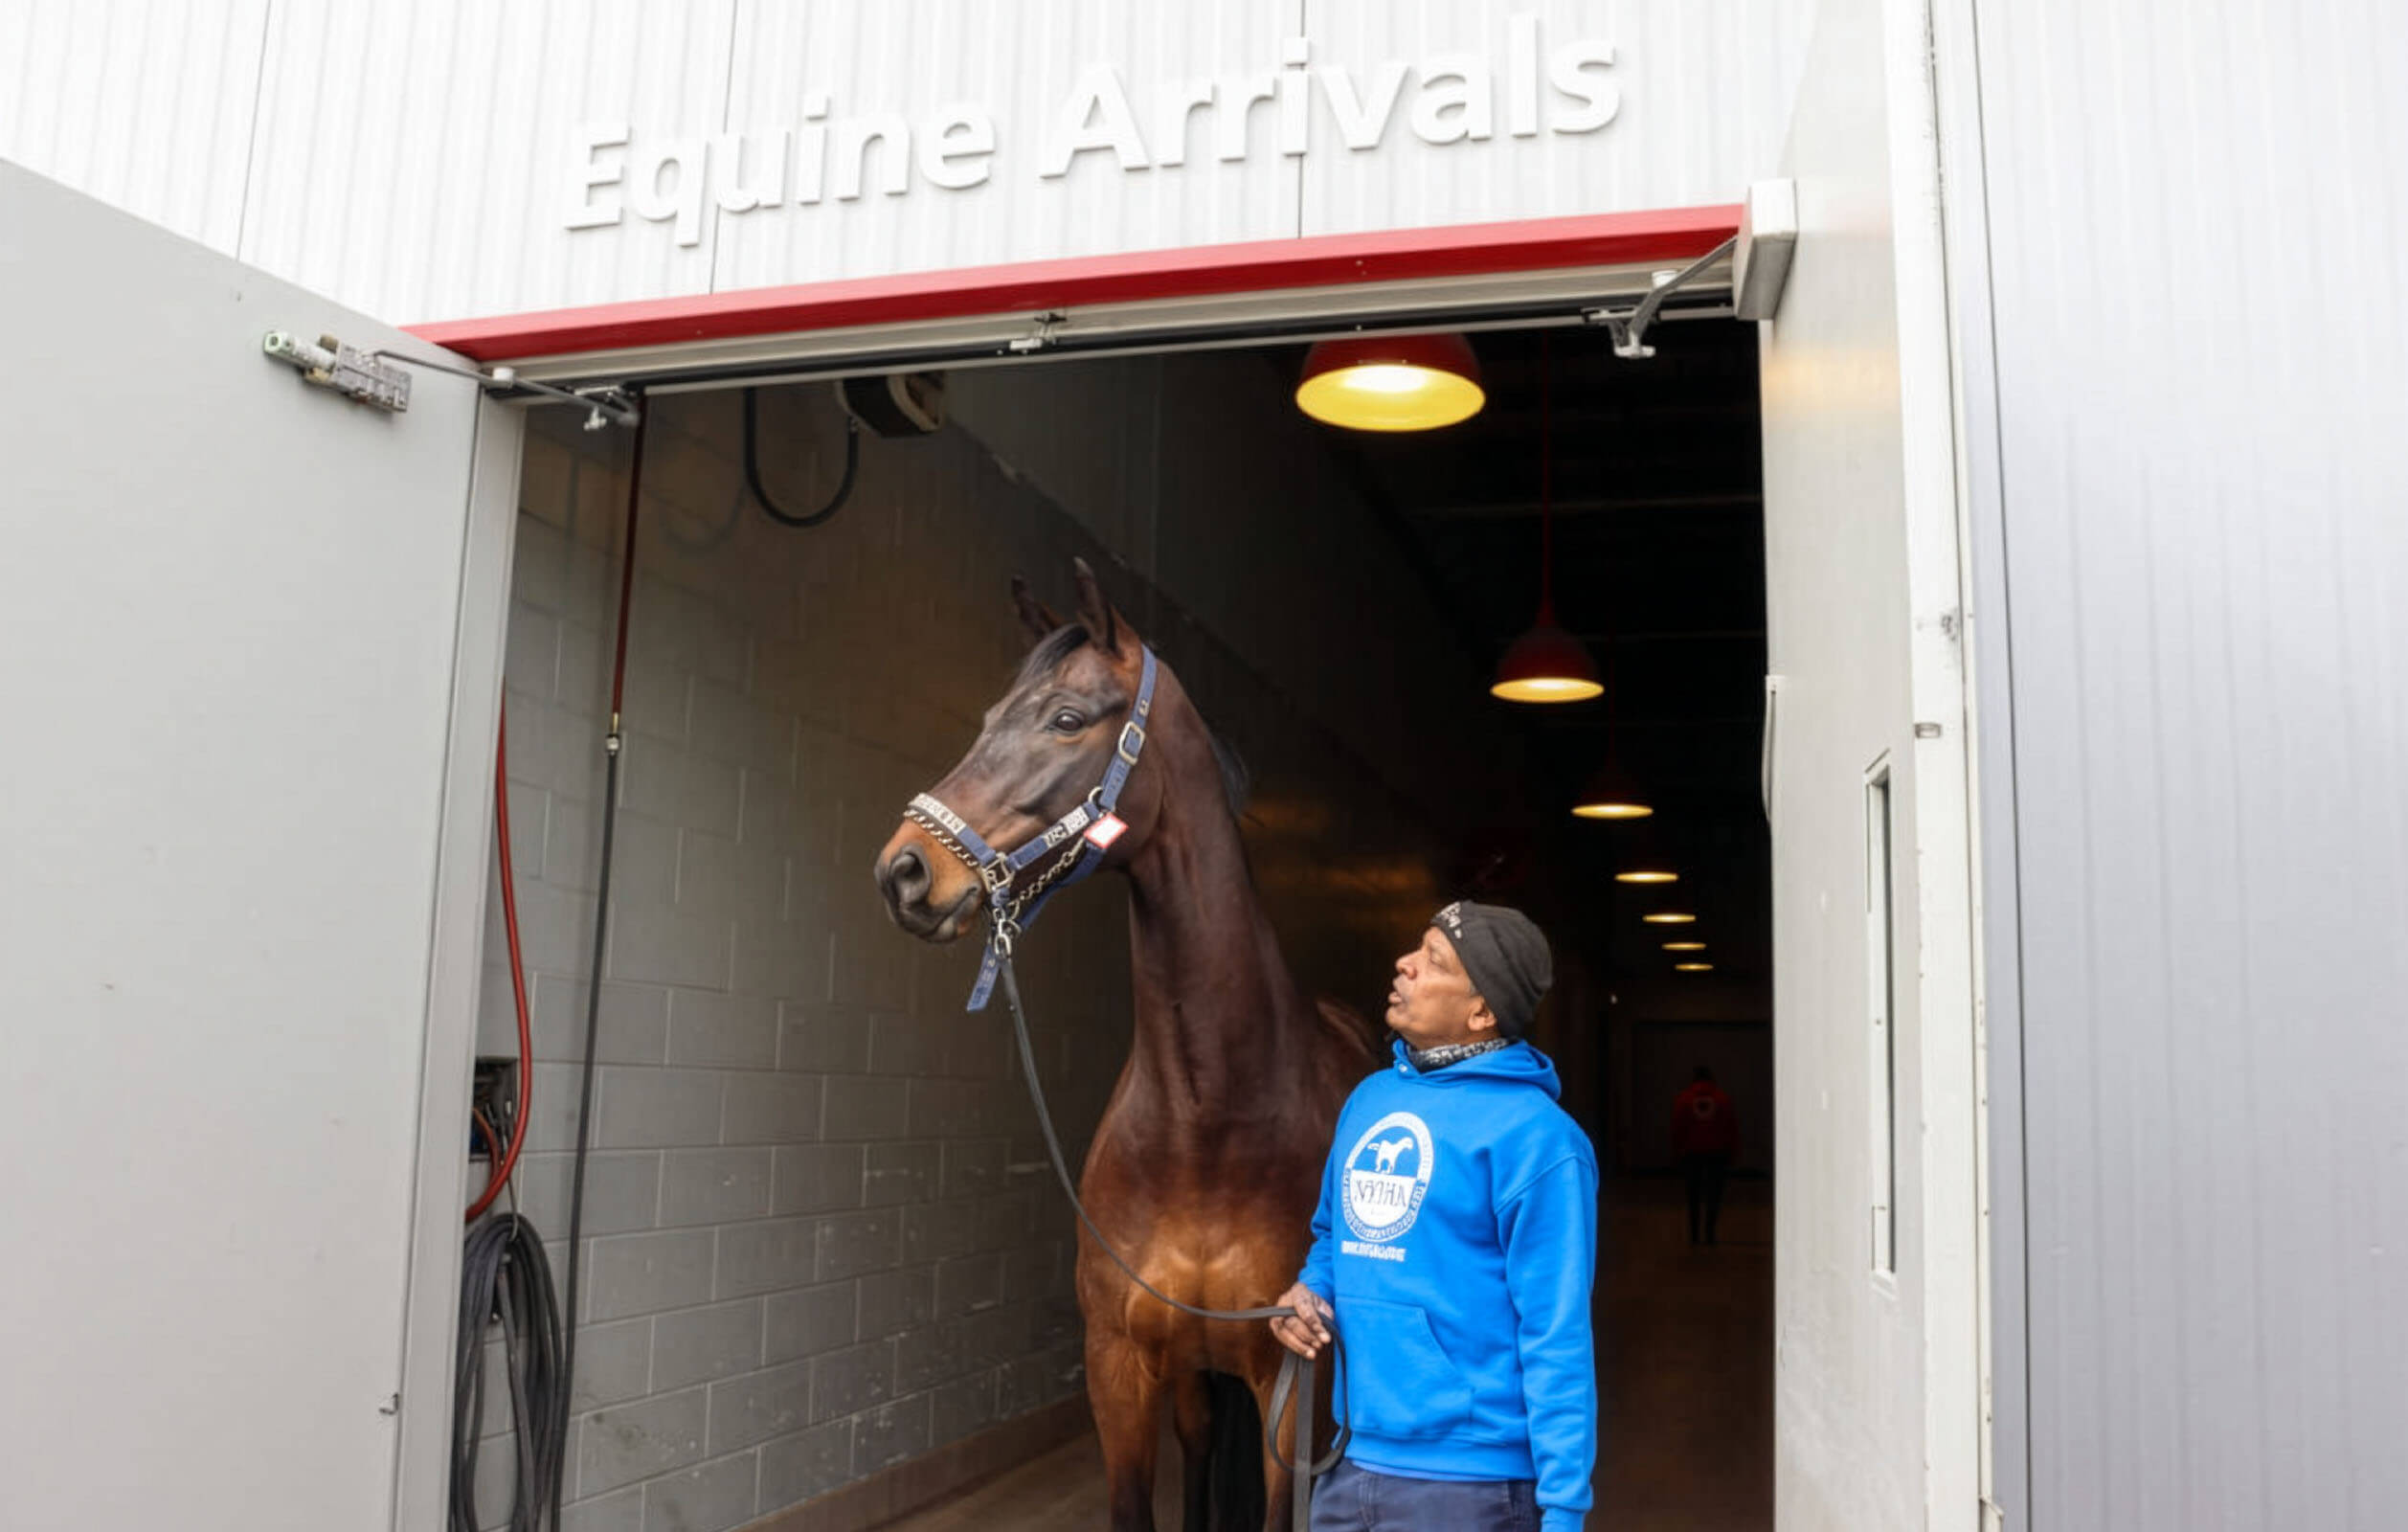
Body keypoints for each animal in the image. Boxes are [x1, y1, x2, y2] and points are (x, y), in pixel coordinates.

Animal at [874, 559, 1374, 1532]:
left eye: (1067, 719)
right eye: (988, 718)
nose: (903, 872)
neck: (1206, 1124)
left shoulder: (1288, 1383)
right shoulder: (1119, 1368)